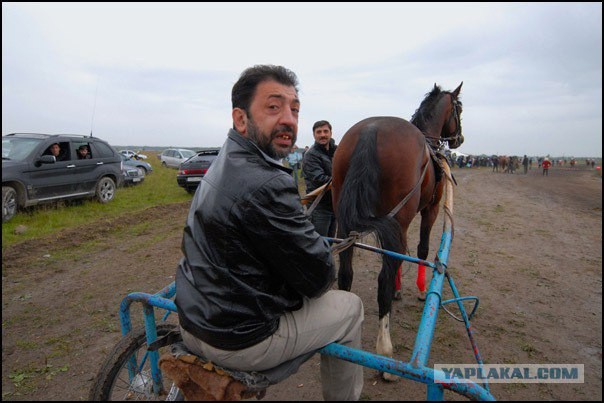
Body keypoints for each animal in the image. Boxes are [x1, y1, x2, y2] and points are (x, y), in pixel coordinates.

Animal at [330, 83, 462, 382]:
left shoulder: (397, 222)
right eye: (459, 109)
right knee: (382, 279)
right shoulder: (429, 210)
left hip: (344, 217)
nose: (459, 138)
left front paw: (398, 289)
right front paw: (421, 290)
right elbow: (421, 249)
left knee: (347, 272)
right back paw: (385, 354)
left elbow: (400, 257)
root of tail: (372, 129)